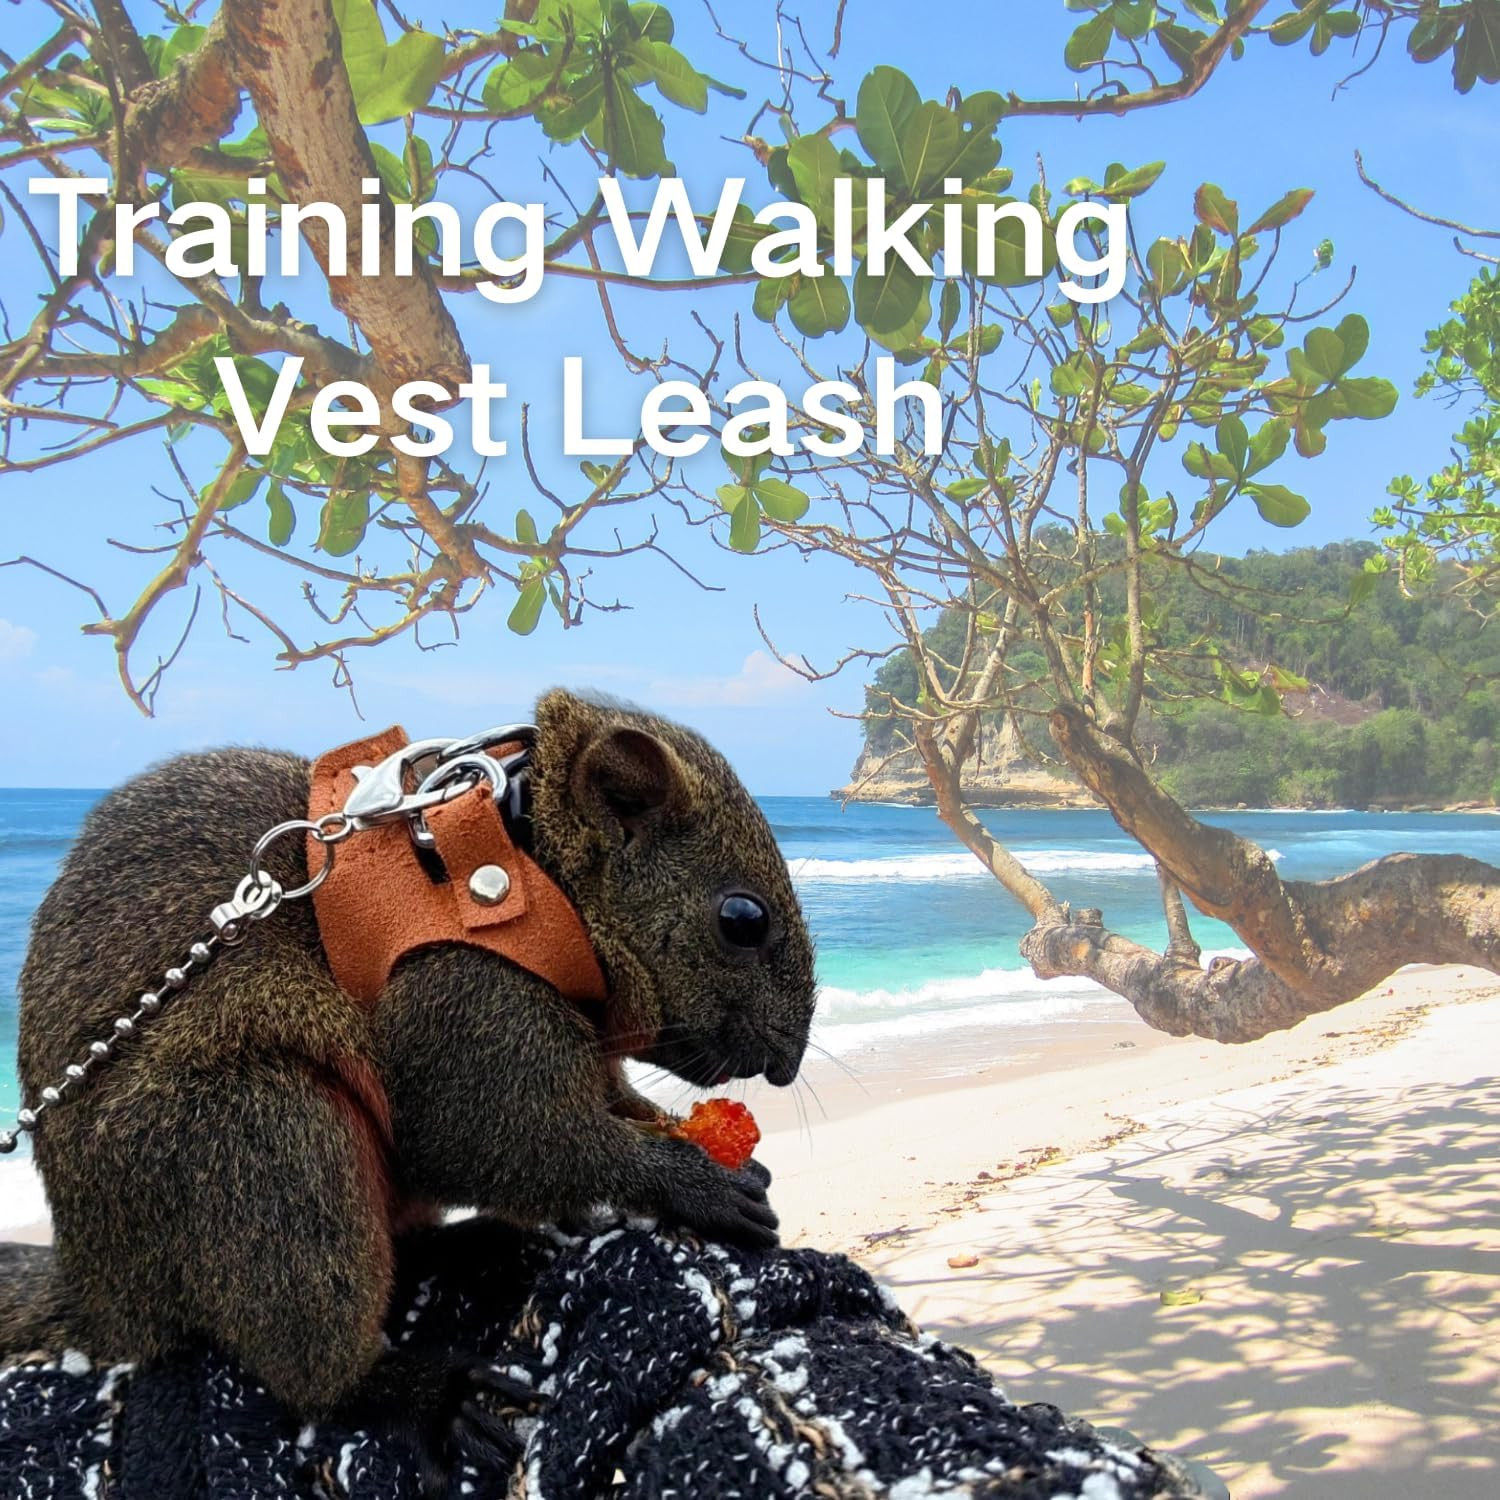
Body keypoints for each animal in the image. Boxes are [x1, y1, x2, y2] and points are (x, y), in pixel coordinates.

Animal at [0, 689, 816, 1485]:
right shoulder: (461, 997)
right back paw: (424, 1394)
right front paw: (697, 1184)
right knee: (314, 1366)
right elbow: (503, 1142)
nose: (787, 1064)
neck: (522, 863)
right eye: (742, 918)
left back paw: (473, 1244)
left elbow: (614, 1108)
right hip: (260, 1133)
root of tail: (103, 1290)